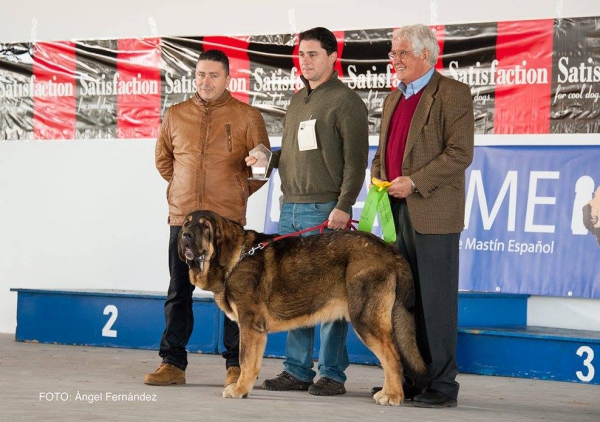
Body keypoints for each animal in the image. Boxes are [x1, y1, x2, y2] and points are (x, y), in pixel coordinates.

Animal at [178, 209, 426, 404]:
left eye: (205, 227)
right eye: (187, 223)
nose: (185, 235)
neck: (236, 258)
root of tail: (389, 249)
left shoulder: (250, 326)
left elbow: (245, 361)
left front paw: (238, 389)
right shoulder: (255, 331)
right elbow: (252, 364)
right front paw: (245, 388)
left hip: (365, 319)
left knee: (392, 359)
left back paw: (392, 395)